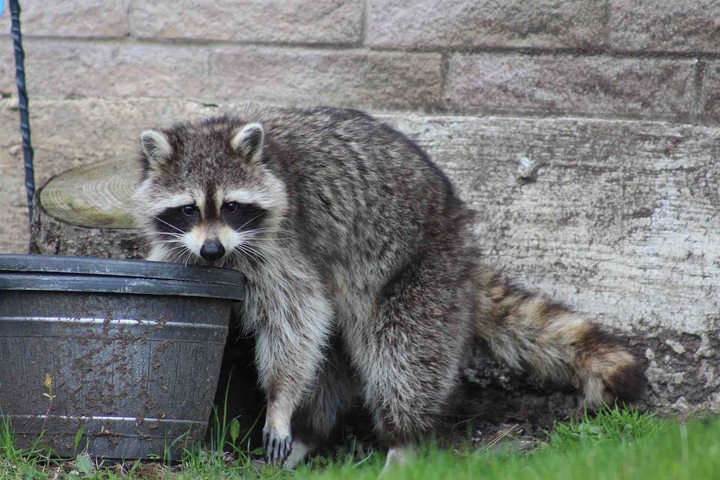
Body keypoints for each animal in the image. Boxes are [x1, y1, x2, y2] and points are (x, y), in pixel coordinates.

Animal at [132, 106, 644, 471]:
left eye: (232, 207)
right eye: (188, 209)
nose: (213, 250)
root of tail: (463, 237)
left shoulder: (284, 243)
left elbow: (297, 320)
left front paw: (279, 403)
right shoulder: (185, 246)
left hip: (423, 270)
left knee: (403, 356)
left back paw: (402, 439)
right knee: (333, 360)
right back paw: (312, 432)